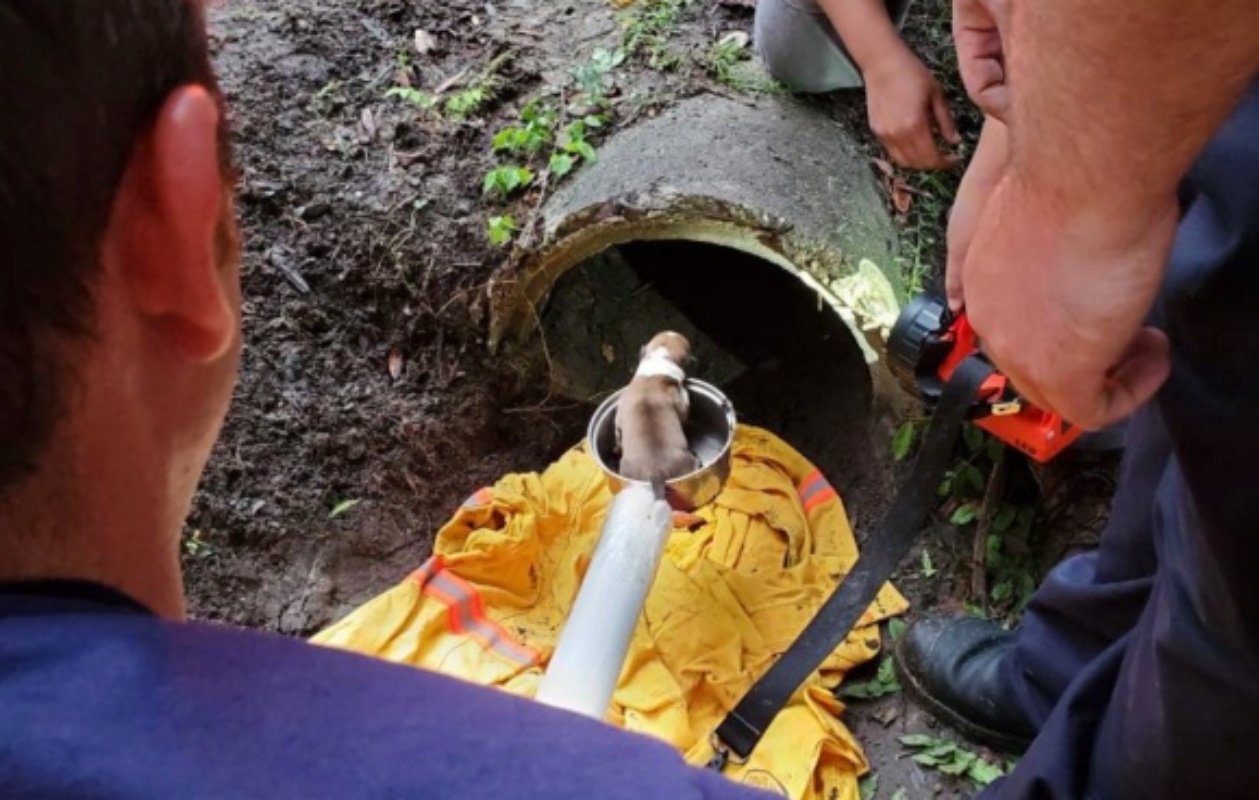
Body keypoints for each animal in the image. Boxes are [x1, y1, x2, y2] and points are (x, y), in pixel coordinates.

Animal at [611, 332, 700, 488]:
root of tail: (656, 472)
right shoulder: (681, 403)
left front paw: (617, 447)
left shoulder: (620, 412)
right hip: (689, 463)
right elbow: (684, 406)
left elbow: (617, 431)